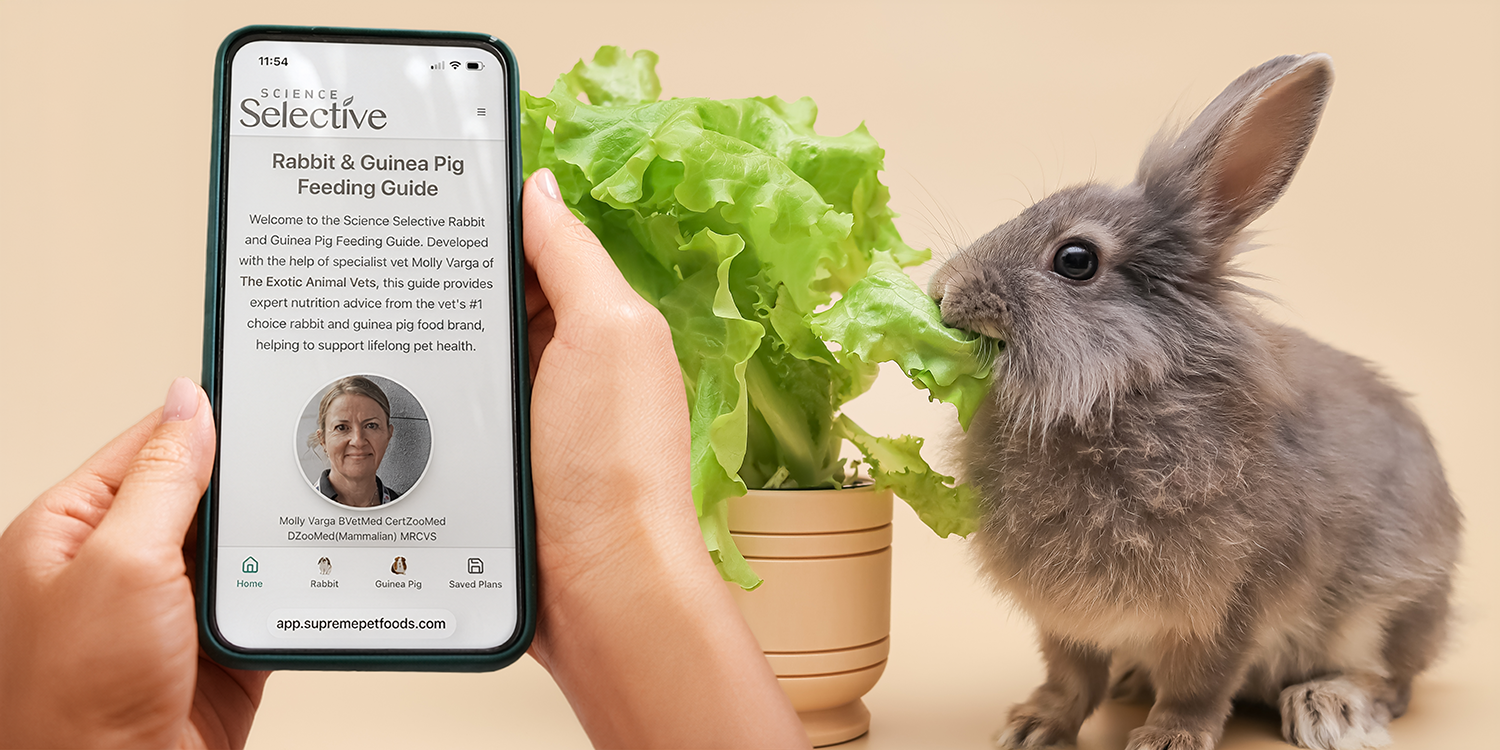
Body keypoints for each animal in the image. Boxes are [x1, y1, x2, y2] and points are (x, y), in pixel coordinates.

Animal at [929, 54, 1462, 750]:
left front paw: (1167, 739)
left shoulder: (1228, 604)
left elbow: (1199, 684)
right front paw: (1031, 727)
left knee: (1391, 683)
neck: (1124, 391)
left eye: (1076, 260)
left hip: (1385, 610)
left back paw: (1326, 707)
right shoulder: (1066, 619)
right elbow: (1069, 675)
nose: (942, 291)